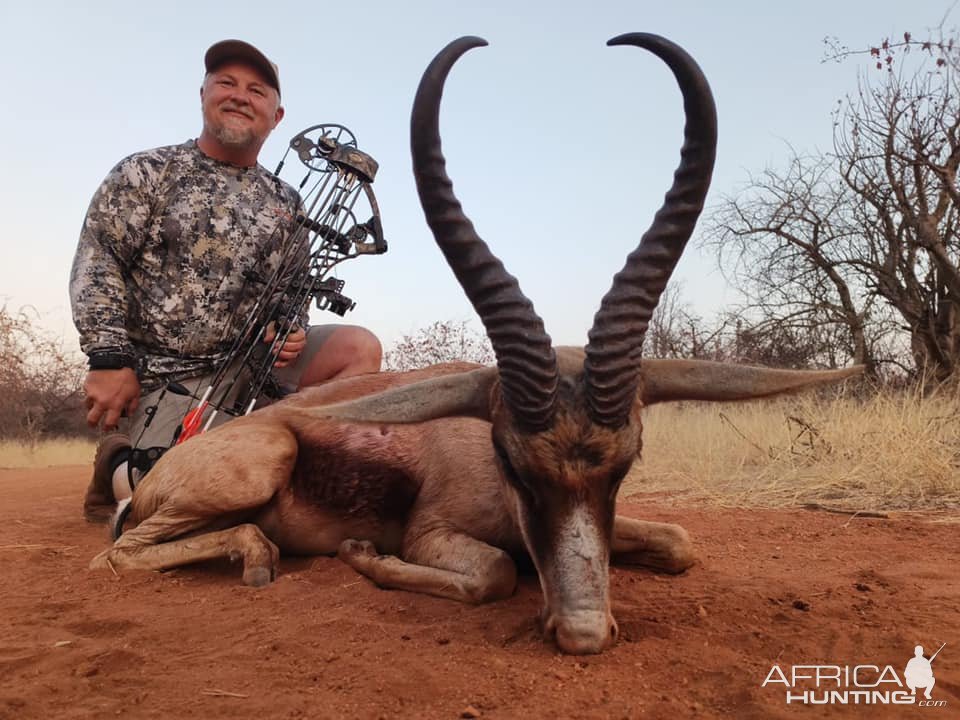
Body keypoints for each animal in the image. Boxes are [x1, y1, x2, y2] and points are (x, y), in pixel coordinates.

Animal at [92, 33, 864, 656]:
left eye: (627, 464)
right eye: (511, 461)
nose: (584, 634)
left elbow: (681, 542)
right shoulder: (435, 535)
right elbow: (493, 574)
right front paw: (362, 555)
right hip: (259, 464)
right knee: (118, 554)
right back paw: (255, 558)